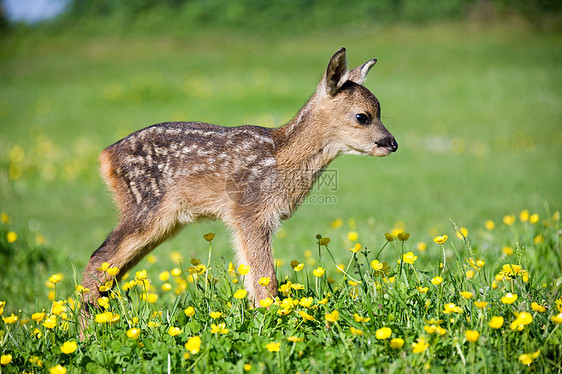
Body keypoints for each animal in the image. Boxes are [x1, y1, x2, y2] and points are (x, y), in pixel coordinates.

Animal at [81, 47, 396, 318]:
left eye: (381, 112)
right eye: (362, 116)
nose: (392, 144)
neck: (281, 157)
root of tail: (105, 155)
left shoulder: (244, 218)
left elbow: (253, 279)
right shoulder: (249, 211)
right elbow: (265, 279)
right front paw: (273, 322)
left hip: (164, 221)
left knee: (111, 272)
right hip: (145, 207)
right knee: (98, 261)